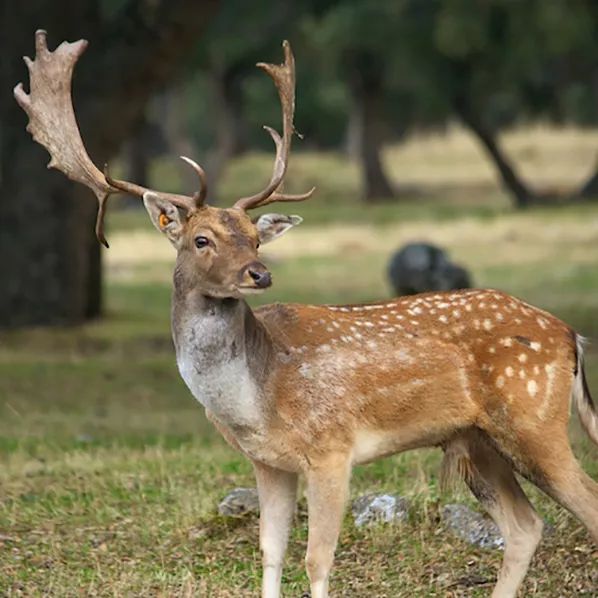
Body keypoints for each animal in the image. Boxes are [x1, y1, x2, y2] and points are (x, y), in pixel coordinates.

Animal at [14, 31, 598, 598]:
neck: (256, 398)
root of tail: (571, 335)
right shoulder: (268, 463)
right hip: (476, 439)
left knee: (582, 504)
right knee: (525, 526)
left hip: (532, 417)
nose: (259, 273)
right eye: (202, 239)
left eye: (253, 238)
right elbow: (270, 552)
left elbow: (318, 561)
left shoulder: (333, 448)